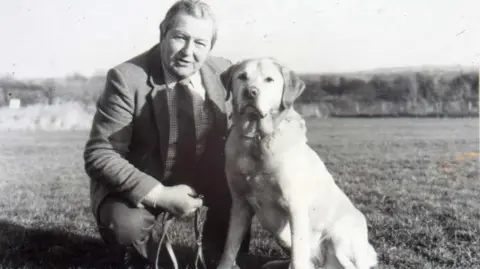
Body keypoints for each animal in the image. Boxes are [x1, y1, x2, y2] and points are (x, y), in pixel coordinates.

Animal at [216, 58, 376, 268]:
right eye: (242, 76)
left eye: (269, 79)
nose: (250, 92)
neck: (257, 140)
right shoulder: (239, 204)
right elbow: (229, 249)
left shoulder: (295, 208)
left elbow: (298, 255)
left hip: (338, 238)